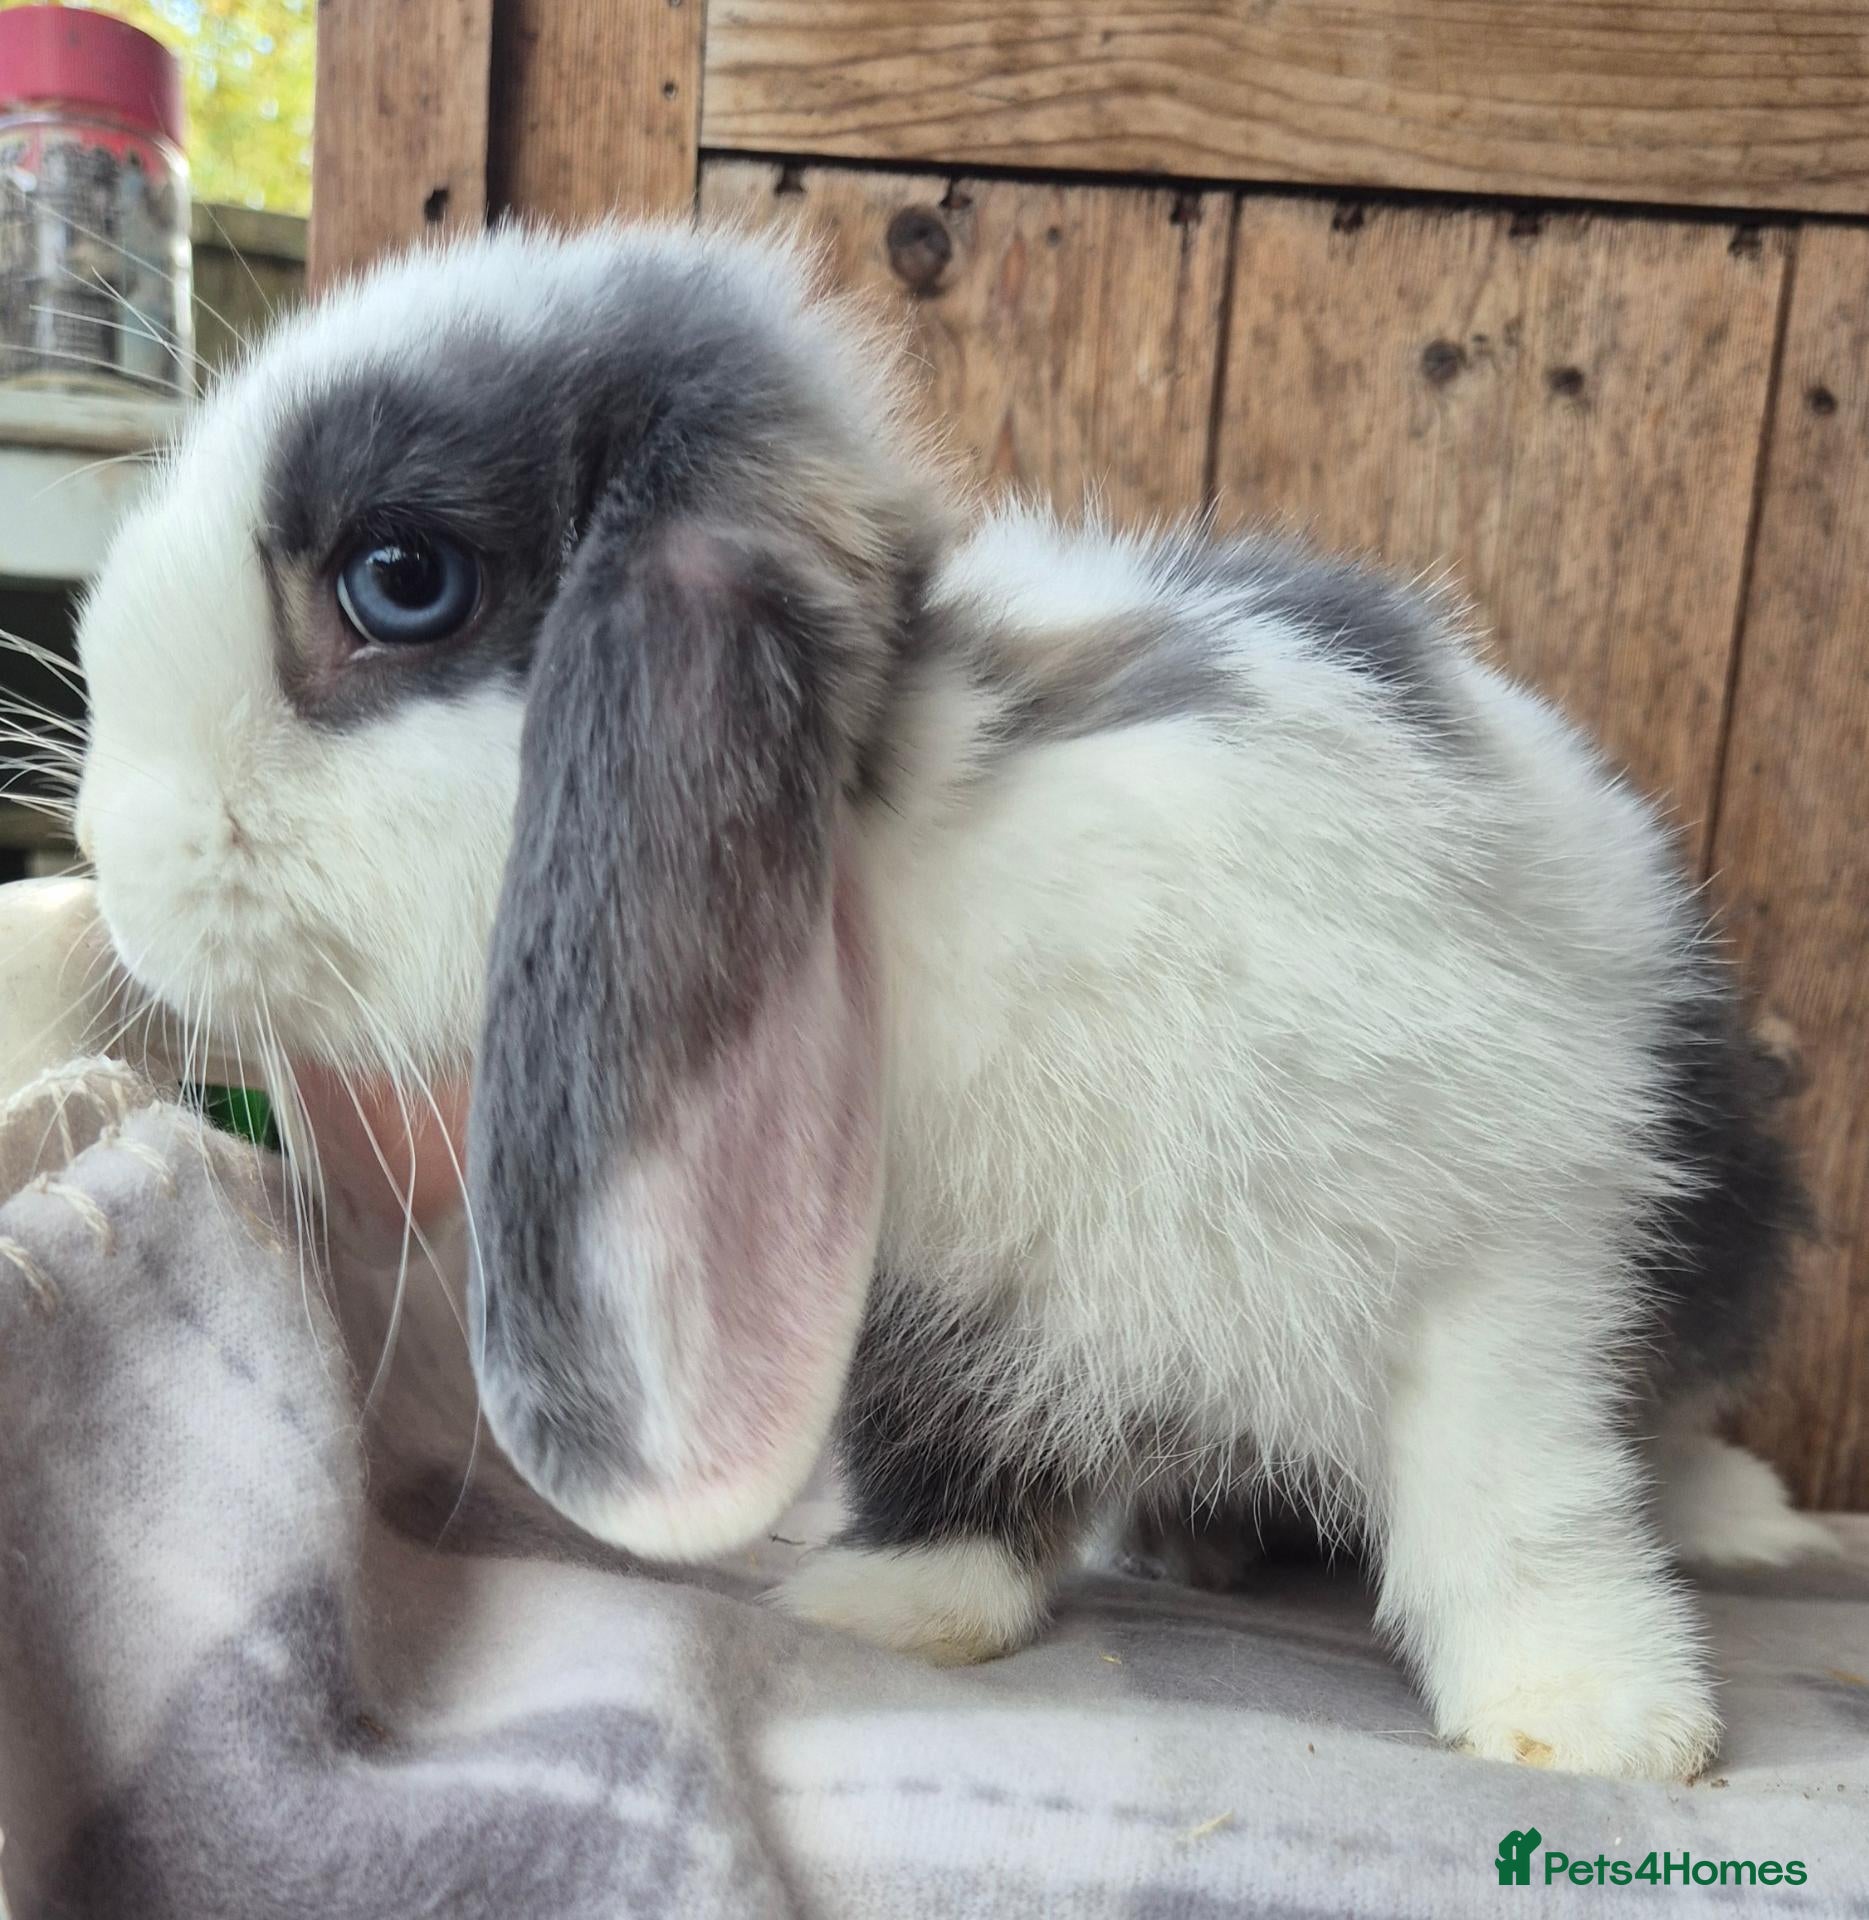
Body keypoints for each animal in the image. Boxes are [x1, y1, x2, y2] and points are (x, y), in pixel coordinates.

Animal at [68, 220, 1837, 1781]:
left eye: (402, 576)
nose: (106, 859)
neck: (901, 858)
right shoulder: (932, 1299)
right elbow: (954, 1455)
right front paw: (891, 1607)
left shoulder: (1503, 1247)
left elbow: (1512, 1490)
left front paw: (1595, 1723)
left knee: (1652, 1420)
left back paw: (1739, 1521)